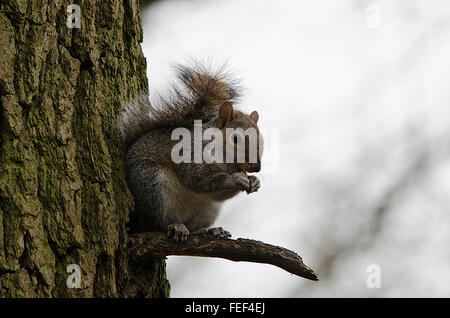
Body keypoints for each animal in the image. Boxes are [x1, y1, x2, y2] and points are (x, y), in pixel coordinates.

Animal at [118, 61, 262, 241]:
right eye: (235, 139)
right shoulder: (190, 153)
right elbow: (198, 179)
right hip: (152, 186)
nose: (257, 167)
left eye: (261, 138)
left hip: (208, 210)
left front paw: (254, 181)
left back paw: (210, 230)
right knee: (159, 221)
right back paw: (175, 226)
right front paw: (234, 179)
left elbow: (218, 193)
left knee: (194, 227)